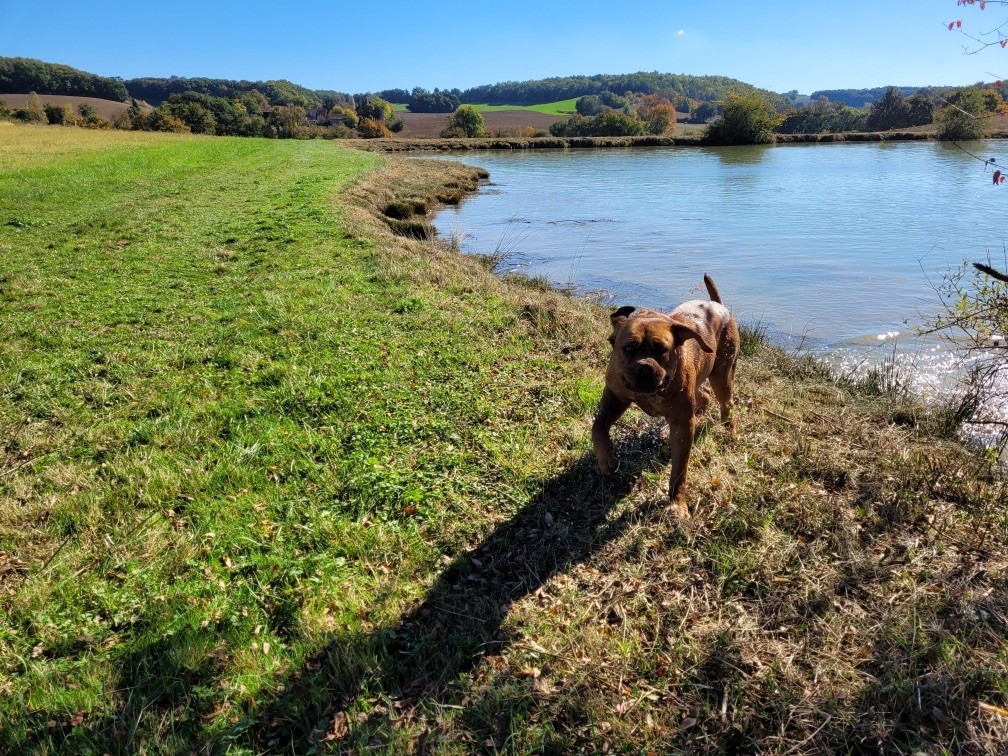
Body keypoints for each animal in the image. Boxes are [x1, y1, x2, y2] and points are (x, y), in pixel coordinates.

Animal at [588, 276, 741, 512]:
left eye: (662, 350)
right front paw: (606, 459)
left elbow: (679, 470)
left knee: (727, 403)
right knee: (704, 394)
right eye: (629, 348)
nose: (645, 366)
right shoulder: (615, 395)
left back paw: (728, 430)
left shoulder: (681, 425)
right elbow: (598, 426)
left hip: (722, 375)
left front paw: (677, 504)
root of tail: (718, 305)